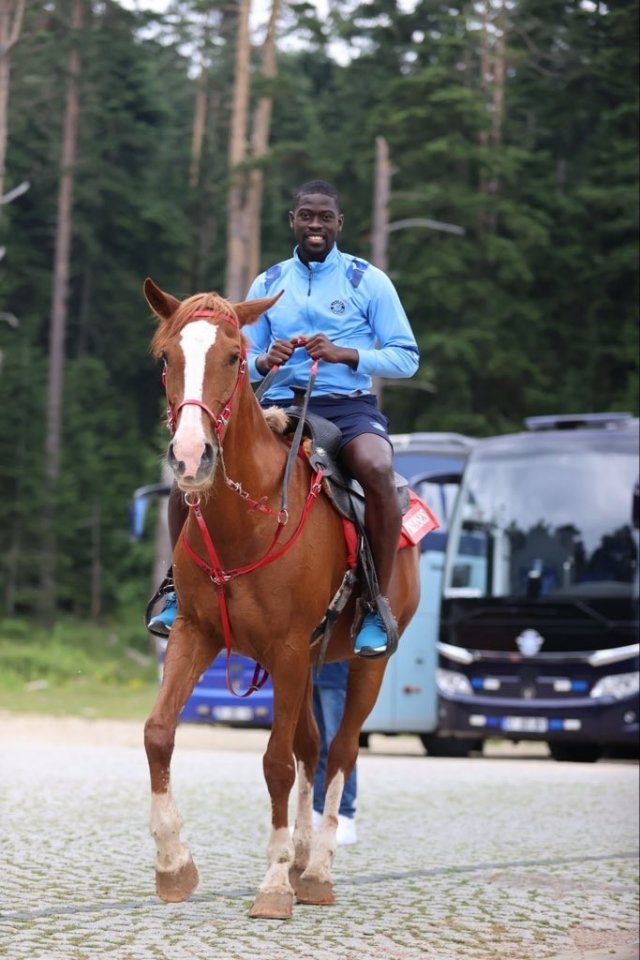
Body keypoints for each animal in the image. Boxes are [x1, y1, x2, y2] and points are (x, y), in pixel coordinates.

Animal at [142, 280, 420, 924]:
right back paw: (301, 858)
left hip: (364, 665)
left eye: (233, 357)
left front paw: (273, 884)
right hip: (310, 662)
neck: (248, 519)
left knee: (339, 752)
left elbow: (273, 762)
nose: (190, 456)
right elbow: (160, 732)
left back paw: (315, 870)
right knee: (312, 747)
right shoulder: (196, 632)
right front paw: (174, 865)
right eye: (167, 357)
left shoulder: (288, 648)